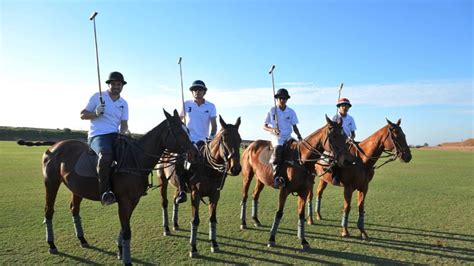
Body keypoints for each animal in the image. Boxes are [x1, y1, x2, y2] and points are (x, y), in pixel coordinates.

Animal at [17, 109, 197, 264]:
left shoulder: (133, 200)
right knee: (48, 210)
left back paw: (82, 239)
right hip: (51, 182)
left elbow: (125, 226)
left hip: (77, 188)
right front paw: (127, 260)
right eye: (179, 132)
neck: (135, 159)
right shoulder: (124, 200)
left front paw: (120, 251)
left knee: (74, 209)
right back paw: (52, 245)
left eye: (188, 129)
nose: (194, 153)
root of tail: (55, 145)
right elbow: (127, 230)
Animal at [157, 116, 243, 258]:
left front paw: (214, 243)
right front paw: (193, 248)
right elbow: (195, 220)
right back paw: (166, 228)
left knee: (176, 199)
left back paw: (175, 223)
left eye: (240, 140)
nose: (236, 169)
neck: (209, 168)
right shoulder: (195, 194)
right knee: (164, 203)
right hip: (162, 181)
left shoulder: (215, 195)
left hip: (178, 186)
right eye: (224, 139)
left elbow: (212, 219)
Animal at [241, 116, 356, 249]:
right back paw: (243, 222)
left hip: (260, 179)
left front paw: (303, 241)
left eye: (345, 136)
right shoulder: (284, 190)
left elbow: (301, 214)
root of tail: (250, 145)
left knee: (255, 195)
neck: (302, 161)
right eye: (334, 136)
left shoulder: (303, 191)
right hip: (247, 175)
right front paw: (271, 239)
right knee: (245, 196)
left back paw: (256, 220)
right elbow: (279, 213)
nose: (347, 161)